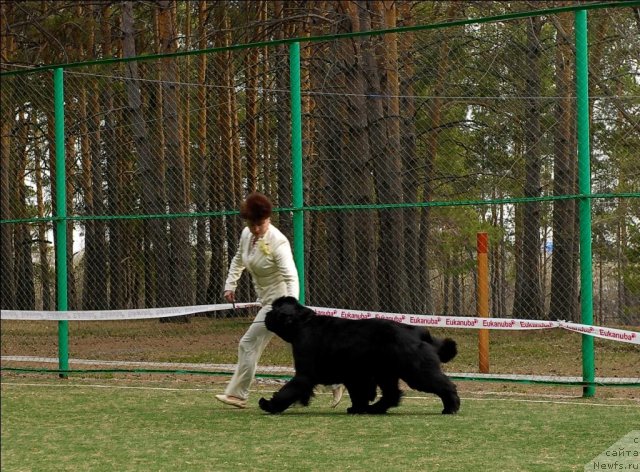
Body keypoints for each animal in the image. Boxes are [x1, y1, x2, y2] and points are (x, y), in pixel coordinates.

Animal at [258, 296, 462, 414]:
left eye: (274, 311)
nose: (266, 317)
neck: (302, 324)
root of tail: (418, 332)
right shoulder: (354, 376)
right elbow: (358, 394)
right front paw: (358, 408)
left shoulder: (305, 374)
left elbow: (288, 390)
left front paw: (270, 405)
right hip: (386, 373)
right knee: (392, 394)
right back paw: (375, 409)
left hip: (415, 371)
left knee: (444, 385)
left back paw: (450, 407)